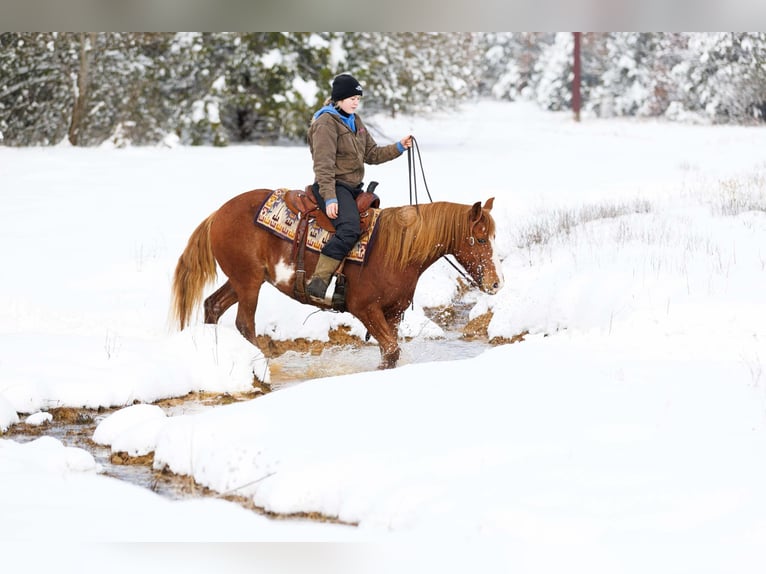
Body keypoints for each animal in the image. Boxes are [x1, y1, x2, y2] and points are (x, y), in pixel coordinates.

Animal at [170, 189, 504, 368]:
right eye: (480, 239)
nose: (496, 283)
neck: (396, 251)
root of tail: (218, 213)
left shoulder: (393, 313)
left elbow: (391, 353)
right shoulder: (365, 309)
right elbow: (391, 350)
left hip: (243, 281)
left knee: (212, 305)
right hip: (248, 282)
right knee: (244, 323)